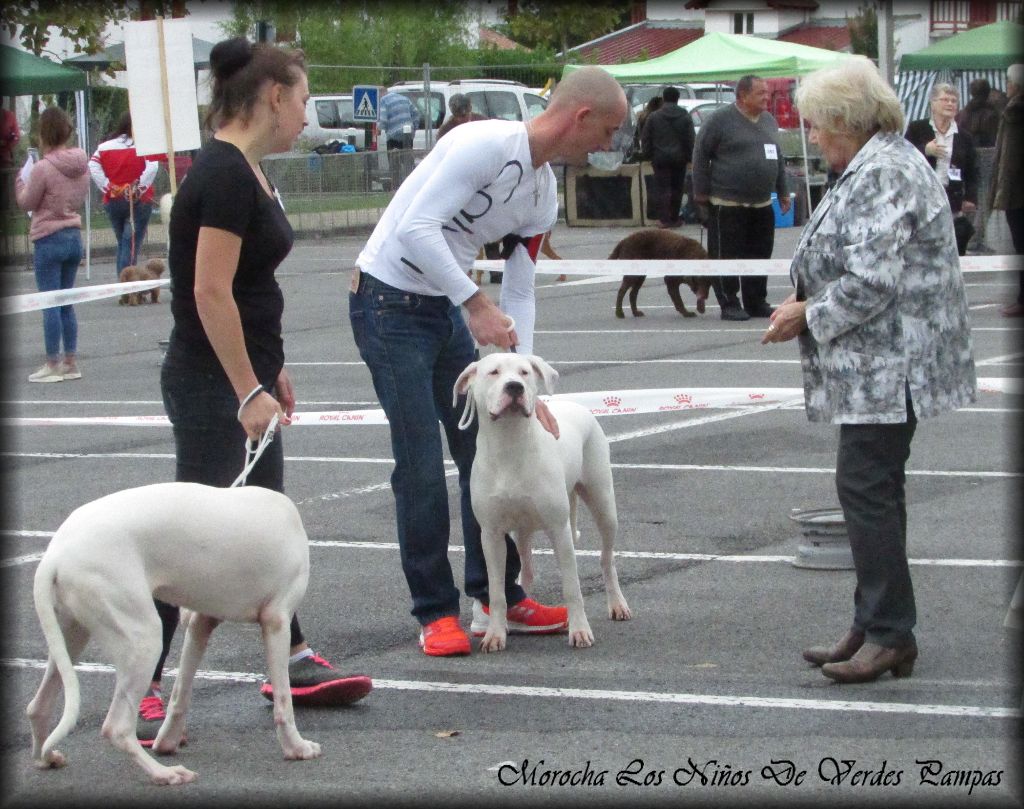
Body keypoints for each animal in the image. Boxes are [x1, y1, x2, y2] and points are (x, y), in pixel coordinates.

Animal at [27, 481, 319, 786]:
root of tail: (54, 556)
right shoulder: (277, 622)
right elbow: (284, 701)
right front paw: (296, 748)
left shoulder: (200, 623)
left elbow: (181, 693)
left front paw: (167, 741)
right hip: (143, 640)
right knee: (116, 728)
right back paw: (163, 773)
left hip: (72, 635)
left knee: (38, 707)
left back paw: (46, 758)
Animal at [452, 350, 626, 651]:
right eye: (493, 372)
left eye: (524, 372)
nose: (515, 387)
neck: (510, 444)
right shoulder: (492, 535)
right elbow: (496, 591)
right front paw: (495, 634)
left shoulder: (559, 529)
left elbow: (572, 586)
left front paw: (580, 631)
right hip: (522, 532)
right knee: (527, 572)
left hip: (603, 504)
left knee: (607, 559)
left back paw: (617, 604)